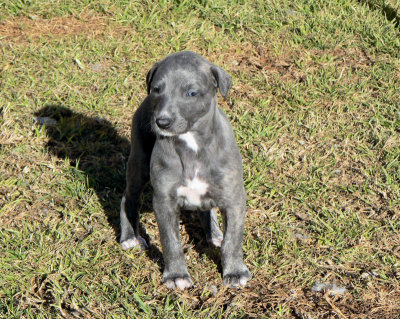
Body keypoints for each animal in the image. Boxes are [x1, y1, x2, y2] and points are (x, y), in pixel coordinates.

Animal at [119, 52, 250, 290]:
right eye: (157, 89)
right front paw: (176, 275)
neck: (192, 143)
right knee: (128, 196)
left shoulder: (234, 197)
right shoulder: (164, 201)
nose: (161, 121)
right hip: (139, 161)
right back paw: (129, 237)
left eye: (191, 93)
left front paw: (235, 271)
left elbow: (233, 239)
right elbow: (171, 242)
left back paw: (214, 234)